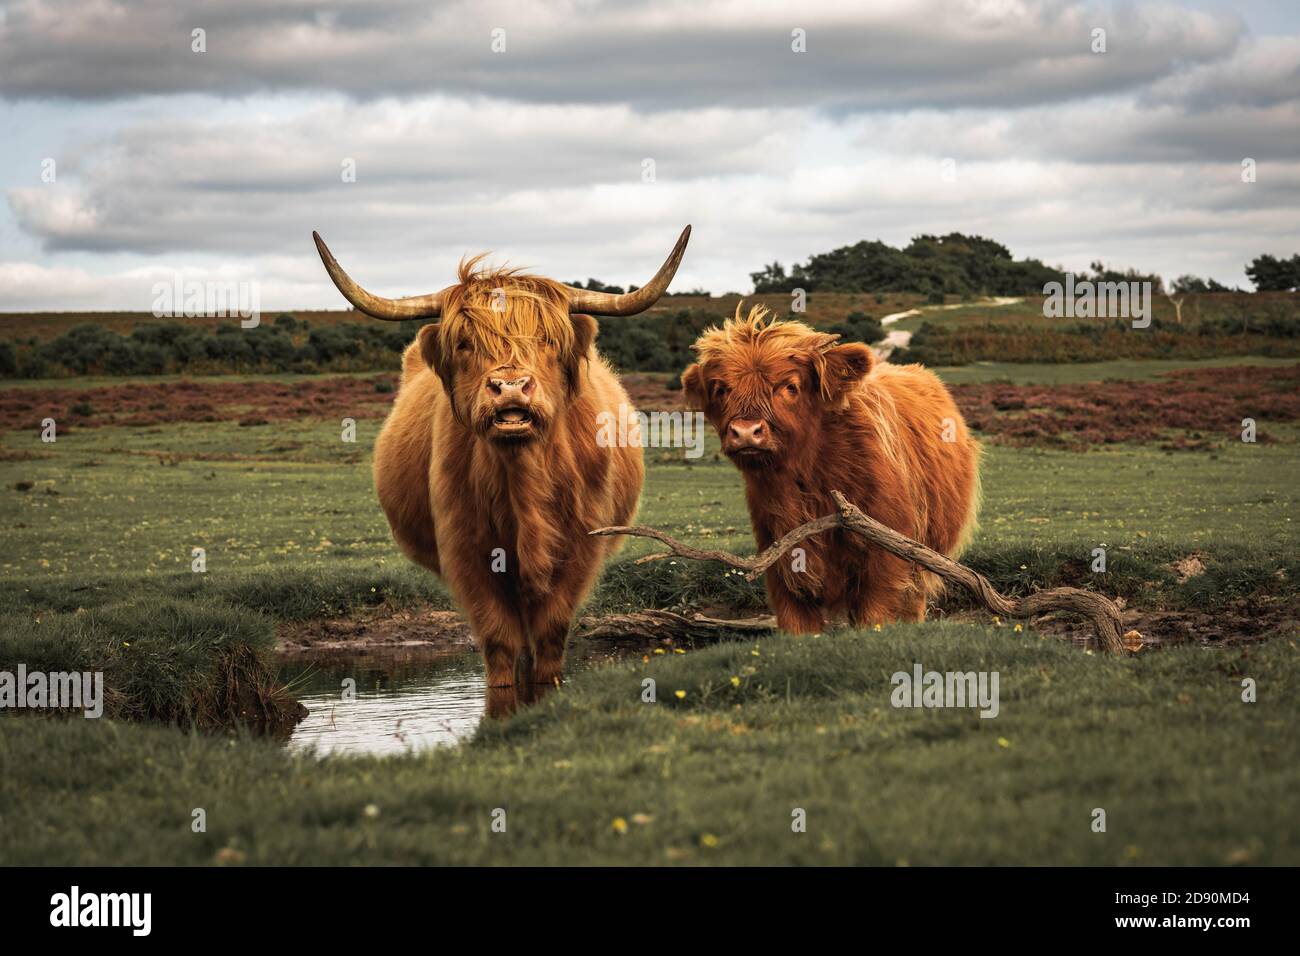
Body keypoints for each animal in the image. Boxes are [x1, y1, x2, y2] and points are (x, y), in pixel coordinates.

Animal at [313, 227, 691, 715]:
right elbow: (498, 641)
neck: (522, 480)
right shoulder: (467, 554)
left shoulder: (580, 550)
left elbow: (550, 636)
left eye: (547, 339)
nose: (510, 386)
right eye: (465, 342)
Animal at [681, 304, 979, 634]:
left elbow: (875, 615)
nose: (746, 432)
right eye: (721, 389)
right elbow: (797, 623)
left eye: (790, 386)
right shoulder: (778, 558)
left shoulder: (884, 559)